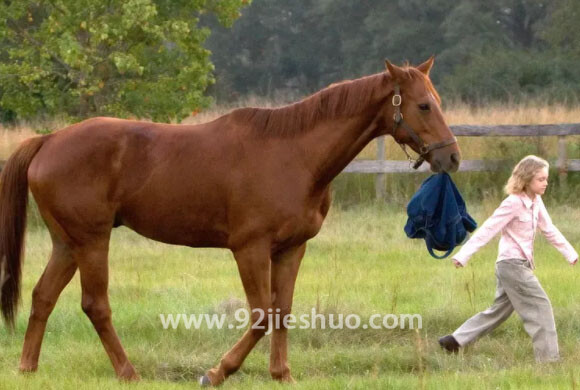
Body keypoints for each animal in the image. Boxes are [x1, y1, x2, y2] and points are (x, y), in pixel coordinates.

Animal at [1, 59, 462, 386]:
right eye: (423, 105)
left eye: (439, 100)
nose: (453, 157)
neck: (294, 154)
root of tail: (49, 140)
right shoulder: (250, 249)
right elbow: (260, 314)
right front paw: (217, 372)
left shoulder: (291, 249)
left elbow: (282, 310)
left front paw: (282, 374)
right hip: (92, 241)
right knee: (95, 304)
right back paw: (128, 373)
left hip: (68, 243)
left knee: (43, 296)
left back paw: (28, 367)